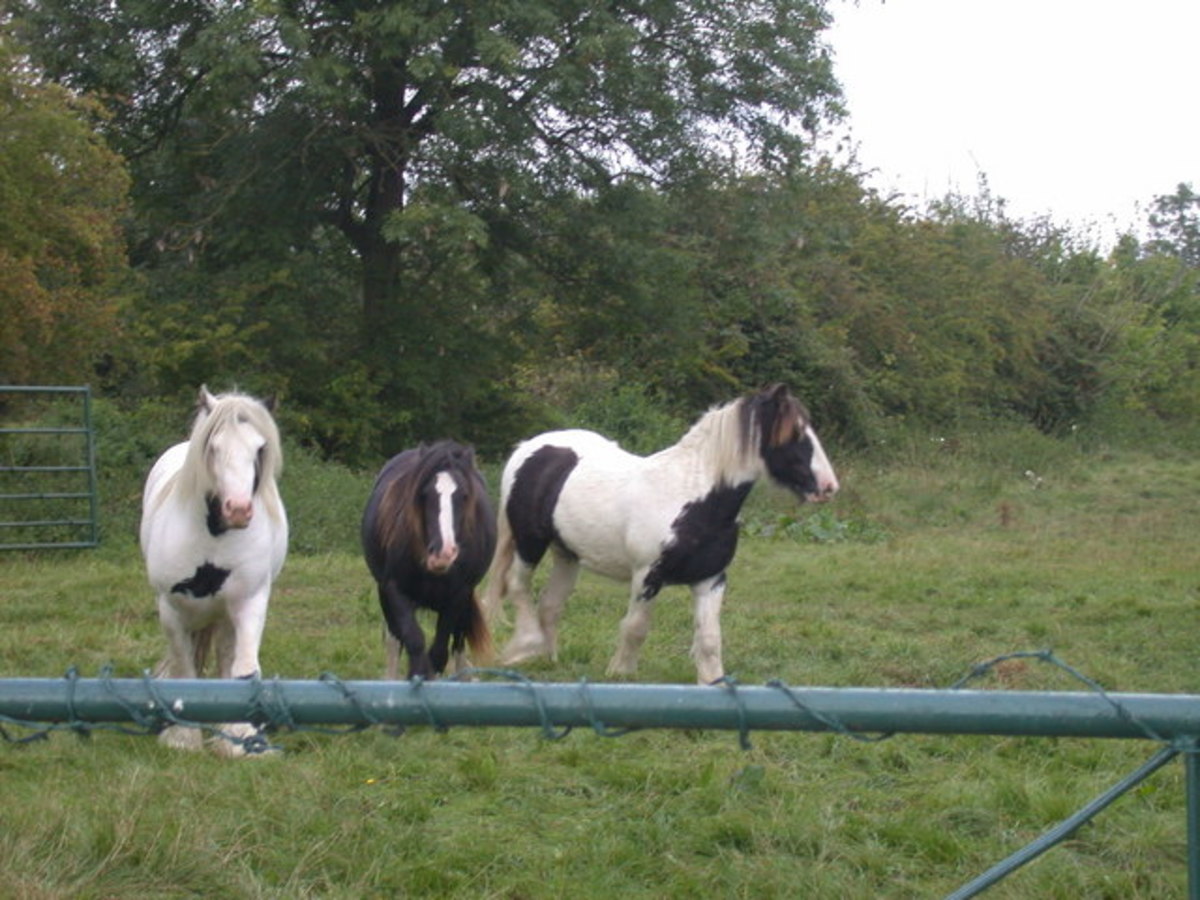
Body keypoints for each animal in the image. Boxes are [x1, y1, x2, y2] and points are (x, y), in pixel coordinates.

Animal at [139, 386, 288, 756]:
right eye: (214, 446)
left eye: (259, 448)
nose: (238, 510)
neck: (215, 535)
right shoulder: (171, 608)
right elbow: (184, 668)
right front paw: (182, 737)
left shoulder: (250, 602)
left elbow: (244, 669)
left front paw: (241, 738)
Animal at [361, 440, 497, 680]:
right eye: (424, 494)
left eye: (464, 495)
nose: (443, 553)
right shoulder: (394, 591)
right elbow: (414, 642)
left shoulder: (458, 596)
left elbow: (439, 652)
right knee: (394, 641)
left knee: (458, 642)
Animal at [481, 383, 839, 685]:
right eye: (795, 434)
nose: (829, 487)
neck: (691, 497)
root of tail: (529, 447)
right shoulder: (646, 575)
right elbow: (636, 628)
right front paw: (620, 673)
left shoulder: (711, 579)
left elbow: (709, 639)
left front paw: (712, 682)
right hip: (529, 544)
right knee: (517, 586)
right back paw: (526, 646)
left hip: (567, 554)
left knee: (550, 604)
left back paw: (548, 659)